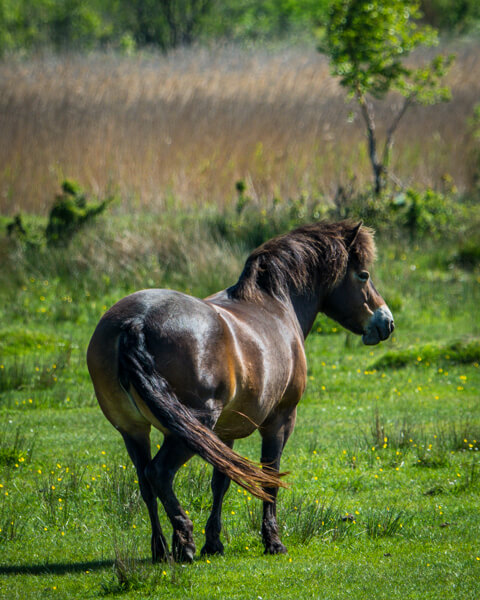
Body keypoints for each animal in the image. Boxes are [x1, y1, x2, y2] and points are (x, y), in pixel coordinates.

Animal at [86, 219, 394, 564]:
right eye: (363, 274)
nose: (386, 321)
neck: (275, 304)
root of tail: (135, 323)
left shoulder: (225, 431)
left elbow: (221, 480)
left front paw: (214, 542)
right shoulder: (280, 421)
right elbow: (270, 477)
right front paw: (272, 541)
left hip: (134, 430)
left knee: (145, 481)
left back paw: (161, 550)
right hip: (190, 427)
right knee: (159, 473)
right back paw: (184, 541)